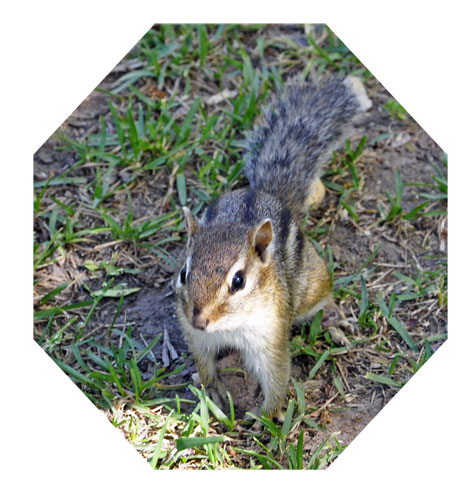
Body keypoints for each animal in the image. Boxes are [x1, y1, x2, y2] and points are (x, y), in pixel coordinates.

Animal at [173, 74, 370, 420]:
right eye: (184, 273)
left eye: (239, 281)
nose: (200, 320)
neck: (230, 327)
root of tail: (270, 195)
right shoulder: (196, 336)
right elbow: (204, 362)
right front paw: (212, 389)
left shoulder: (271, 334)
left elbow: (277, 376)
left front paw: (265, 417)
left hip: (312, 283)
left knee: (325, 293)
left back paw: (332, 317)